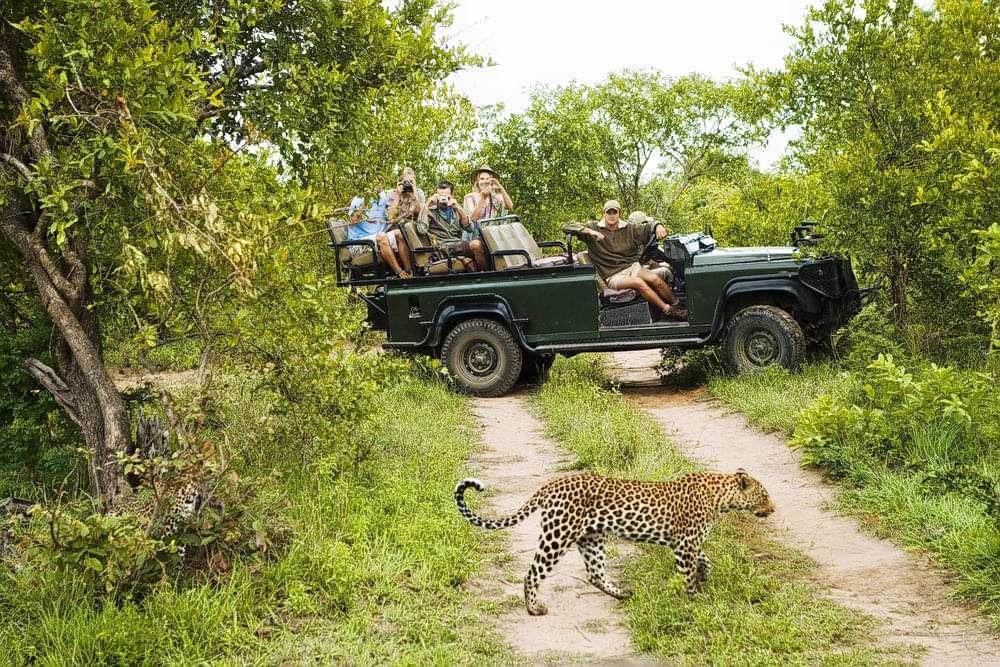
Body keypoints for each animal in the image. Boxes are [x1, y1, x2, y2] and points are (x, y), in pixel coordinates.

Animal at [458, 470, 776, 616]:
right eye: (764, 496)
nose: (773, 510)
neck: (721, 498)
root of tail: (551, 485)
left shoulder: (685, 543)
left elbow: (704, 557)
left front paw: (705, 574)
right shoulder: (685, 543)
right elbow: (688, 574)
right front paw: (695, 598)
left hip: (592, 538)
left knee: (594, 573)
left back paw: (622, 594)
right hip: (558, 535)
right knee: (533, 573)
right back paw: (534, 608)